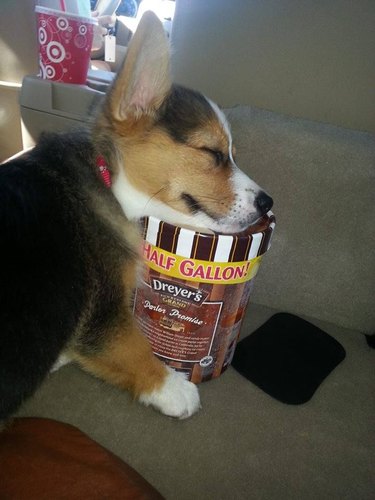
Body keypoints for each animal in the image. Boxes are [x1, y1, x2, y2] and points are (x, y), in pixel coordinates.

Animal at [0, 11, 274, 422]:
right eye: (211, 152)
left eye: (231, 155)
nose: (267, 203)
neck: (108, 177)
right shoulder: (103, 313)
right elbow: (132, 346)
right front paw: (174, 389)